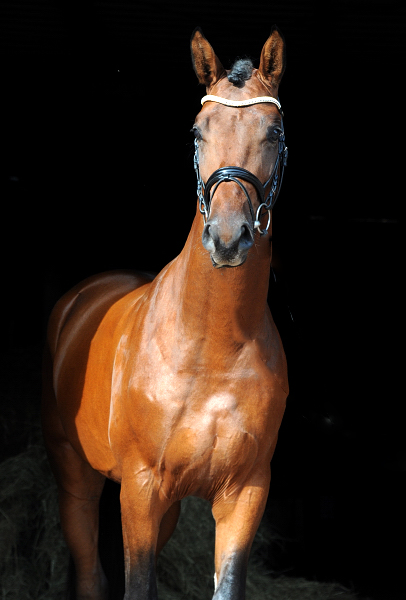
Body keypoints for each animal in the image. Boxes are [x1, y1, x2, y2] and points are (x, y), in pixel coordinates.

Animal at [41, 24, 288, 600]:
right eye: (197, 132)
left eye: (273, 132)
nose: (228, 237)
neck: (214, 345)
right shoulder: (141, 487)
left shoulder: (245, 494)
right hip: (76, 474)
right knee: (90, 570)